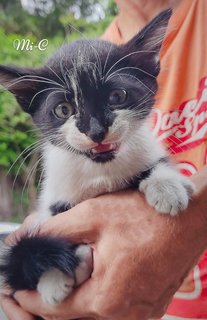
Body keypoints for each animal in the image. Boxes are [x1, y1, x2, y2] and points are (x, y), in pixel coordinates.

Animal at [0, 9, 194, 304]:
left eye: (117, 96)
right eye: (63, 109)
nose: (95, 130)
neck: (100, 171)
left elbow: (156, 164)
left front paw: (167, 188)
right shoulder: (55, 199)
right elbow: (51, 228)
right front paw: (52, 281)